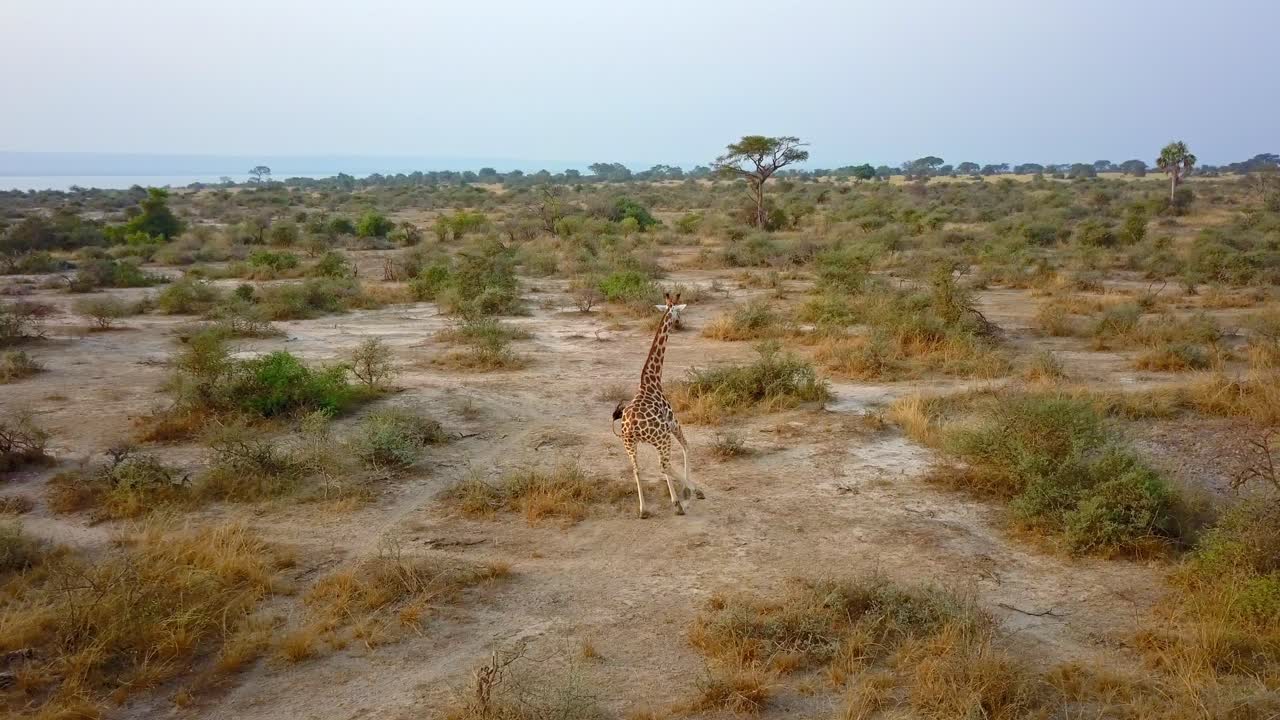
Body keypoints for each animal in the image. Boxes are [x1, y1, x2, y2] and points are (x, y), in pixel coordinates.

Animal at [612, 292, 704, 518]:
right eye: (678, 311)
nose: (679, 322)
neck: (652, 379)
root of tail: (632, 426)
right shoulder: (673, 423)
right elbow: (687, 447)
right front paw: (685, 494)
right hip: (661, 438)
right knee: (664, 465)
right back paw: (687, 497)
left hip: (630, 443)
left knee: (638, 469)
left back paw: (643, 509)